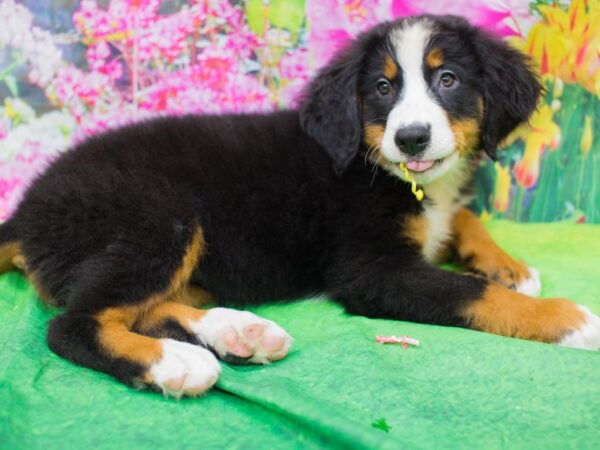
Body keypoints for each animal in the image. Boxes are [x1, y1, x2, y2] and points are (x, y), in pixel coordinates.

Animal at [1, 14, 600, 396]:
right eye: (382, 88)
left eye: (448, 79)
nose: (411, 138)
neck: (385, 169)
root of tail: (27, 210)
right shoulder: (371, 271)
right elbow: (473, 295)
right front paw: (571, 319)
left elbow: (464, 218)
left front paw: (507, 265)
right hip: (159, 215)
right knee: (73, 324)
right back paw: (177, 363)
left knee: (142, 305)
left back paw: (238, 333)